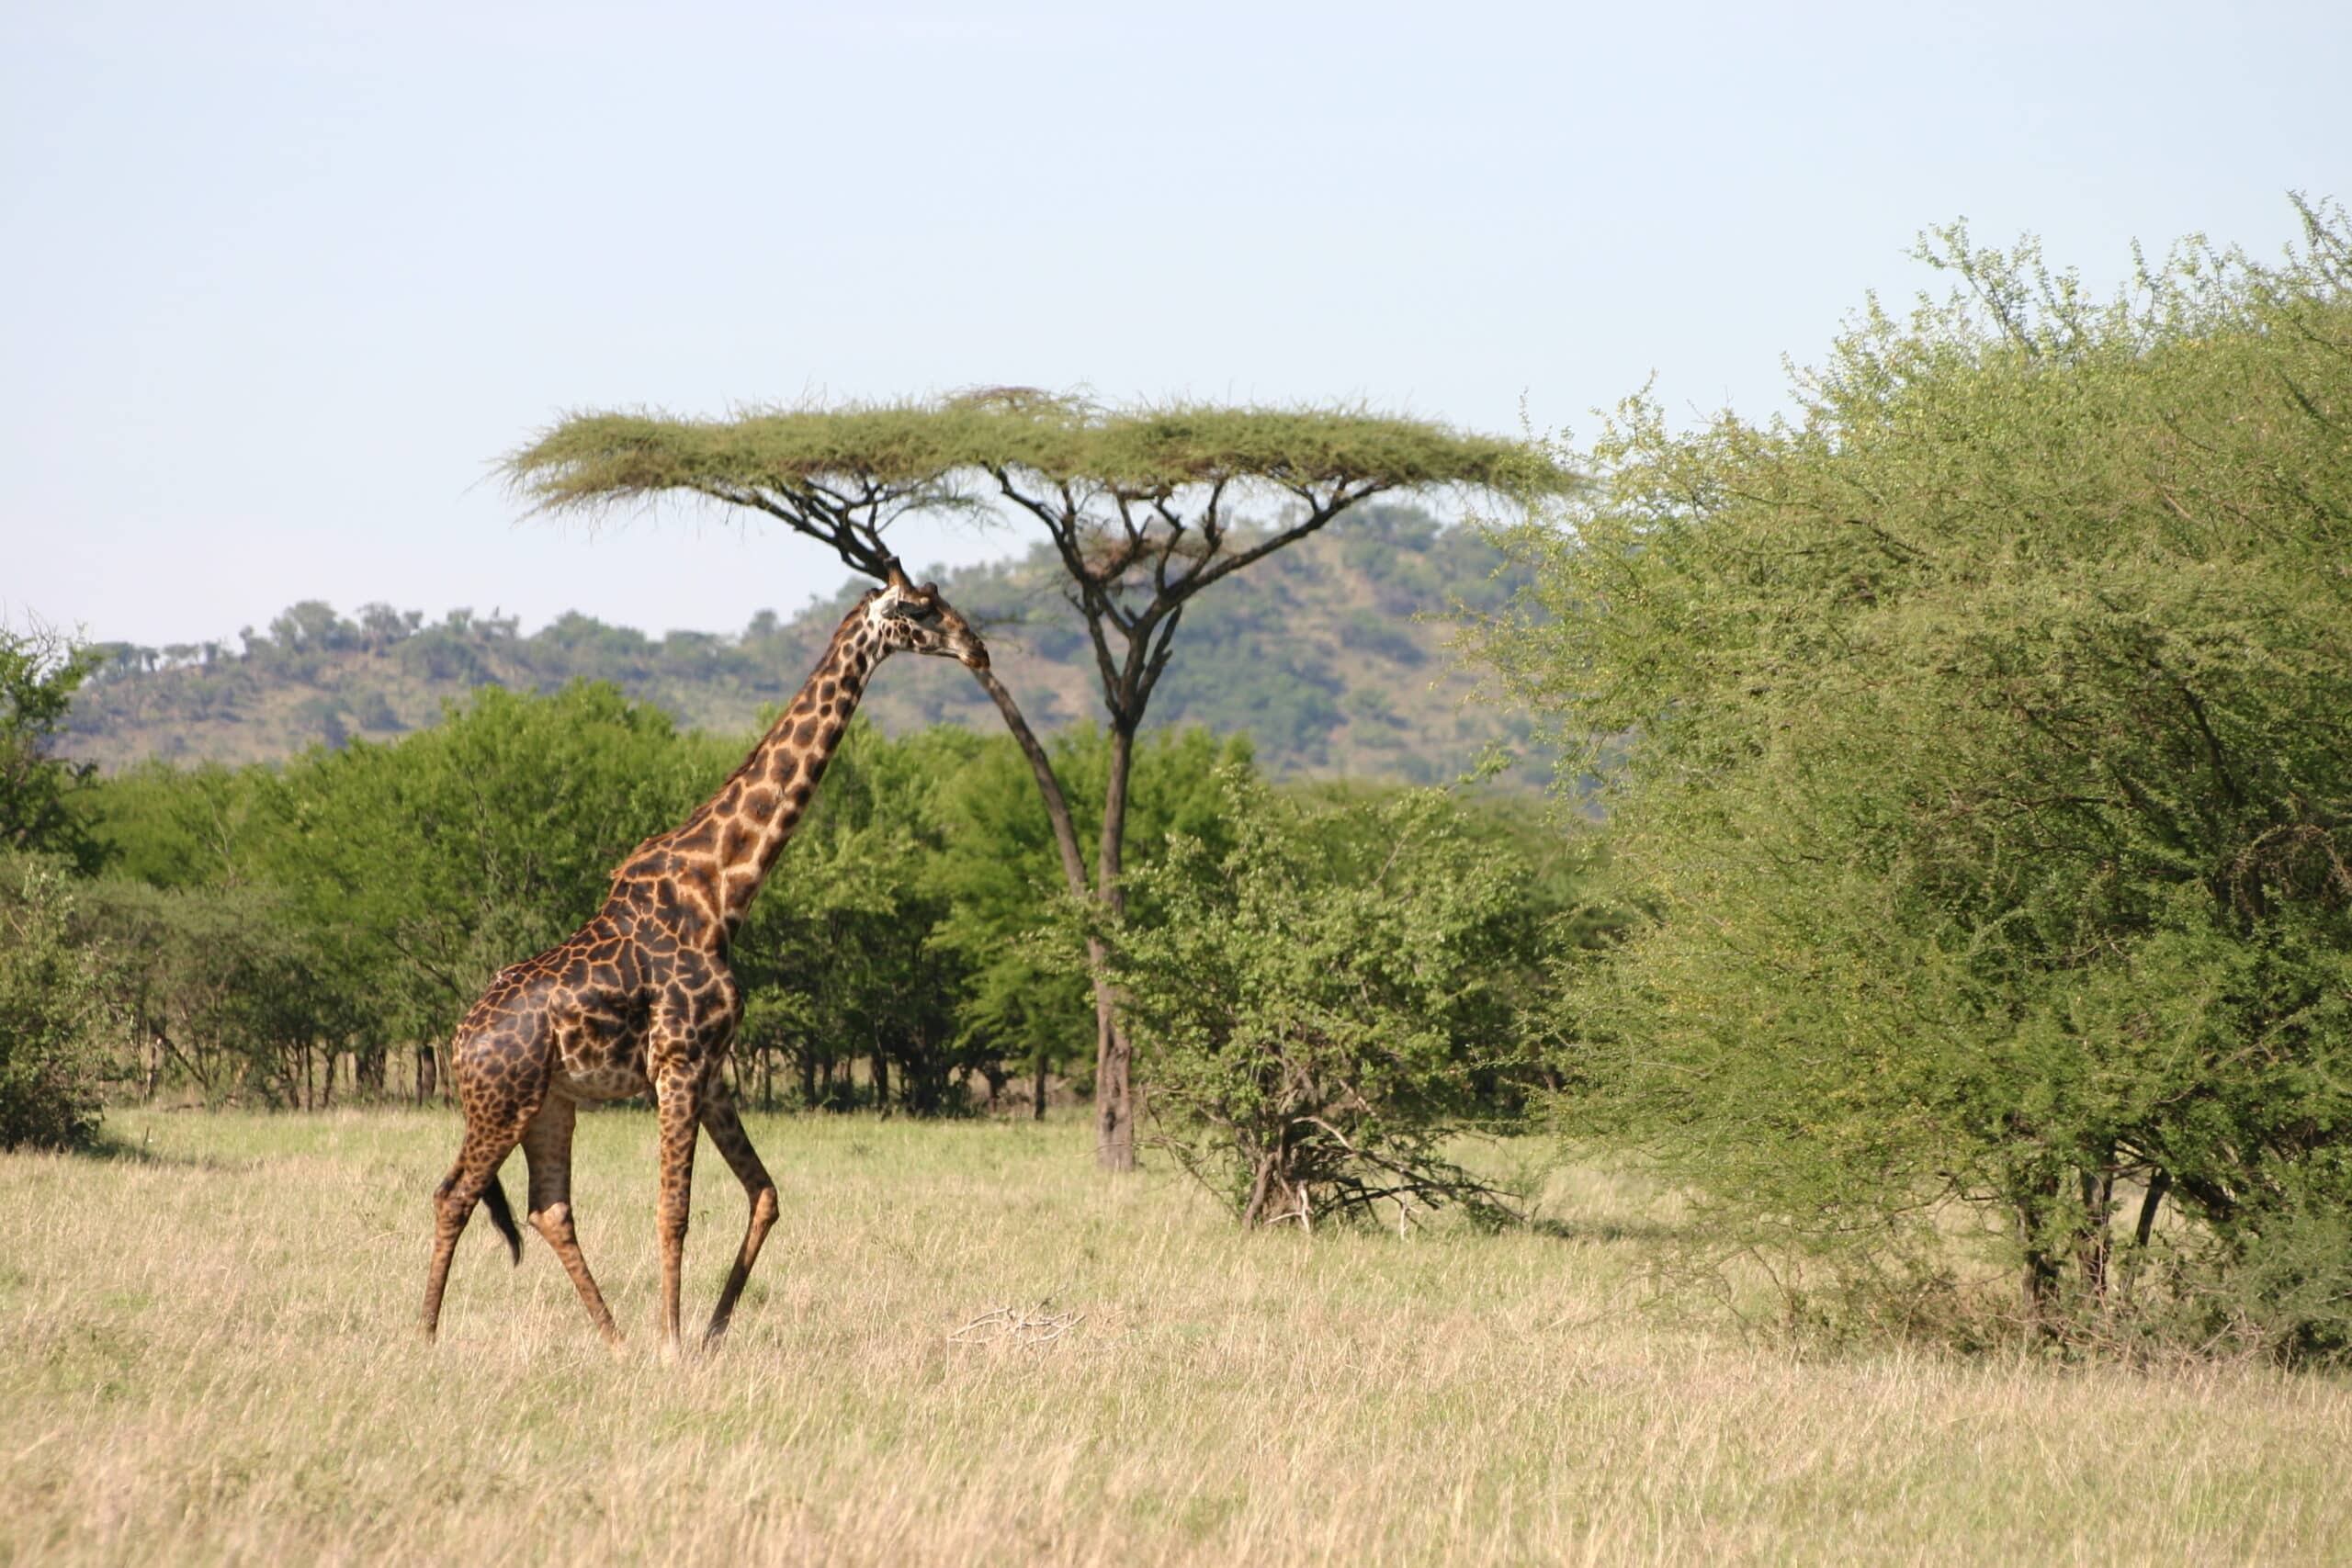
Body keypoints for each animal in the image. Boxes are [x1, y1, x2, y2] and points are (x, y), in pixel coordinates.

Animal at [420, 566, 988, 1351]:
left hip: (550, 1104)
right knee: (454, 1195)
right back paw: (426, 1337)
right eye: (921, 608)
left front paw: (713, 1329)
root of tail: (458, 1039)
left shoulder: (714, 1068)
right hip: (499, 1103)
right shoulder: (679, 1062)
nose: (978, 648)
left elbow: (766, 1192)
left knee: (547, 1207)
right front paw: (673, 1342)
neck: (723, 890)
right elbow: (675, 1211)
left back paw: (614, 1338)